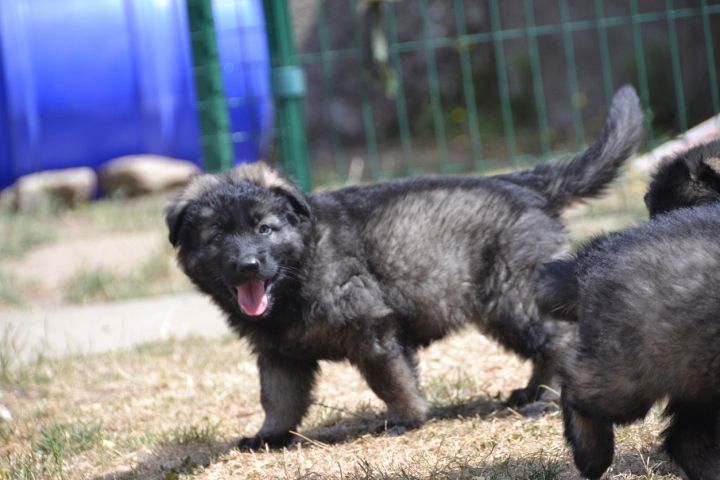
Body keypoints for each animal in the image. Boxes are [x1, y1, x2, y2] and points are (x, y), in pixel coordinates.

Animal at [166, 86, 642, 450]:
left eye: (264, 228)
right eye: (217, 238)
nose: (248, 265)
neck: (299, 270)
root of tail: (526, 183)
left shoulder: (372, 328)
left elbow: (390, 378)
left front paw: (405, 418)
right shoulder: (278, 352)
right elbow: (278, 398)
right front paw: (269, 436)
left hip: (514, 296)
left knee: (557, 340)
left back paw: (546, 398)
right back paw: (532, 392)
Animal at [536, 140, 720, 479]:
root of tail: (589, 265)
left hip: (695, 370)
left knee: (688, 440)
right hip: (632, 371)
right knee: (575, 386)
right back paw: (591, 455)